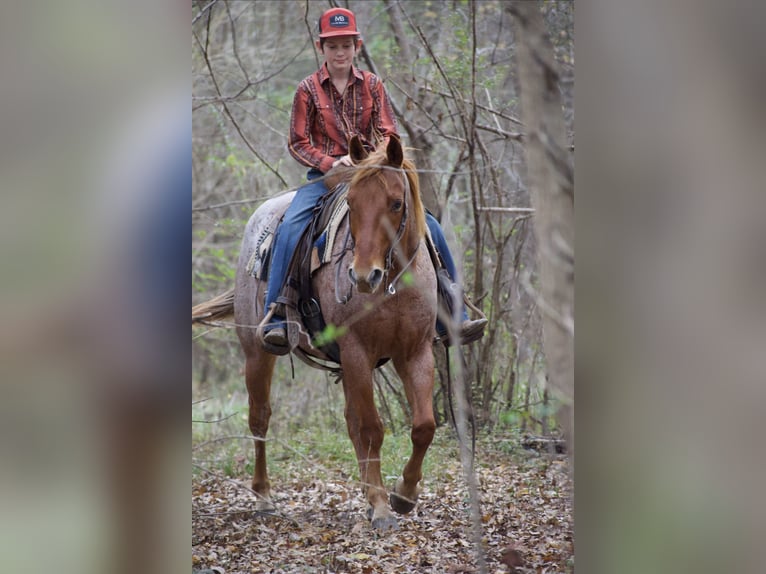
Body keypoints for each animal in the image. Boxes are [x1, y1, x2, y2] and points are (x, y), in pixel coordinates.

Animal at [193, 135, 437, 531]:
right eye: (351, 203)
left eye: (397, 203)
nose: (362, 276)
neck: (393, 286)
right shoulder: (357, 351)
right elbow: (373, 428)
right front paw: (382, 506)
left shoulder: (415, 352)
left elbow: (423, 426)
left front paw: (403, 495)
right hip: (257, 353)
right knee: (259, 418)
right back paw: (264, 498)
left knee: (352, 422)